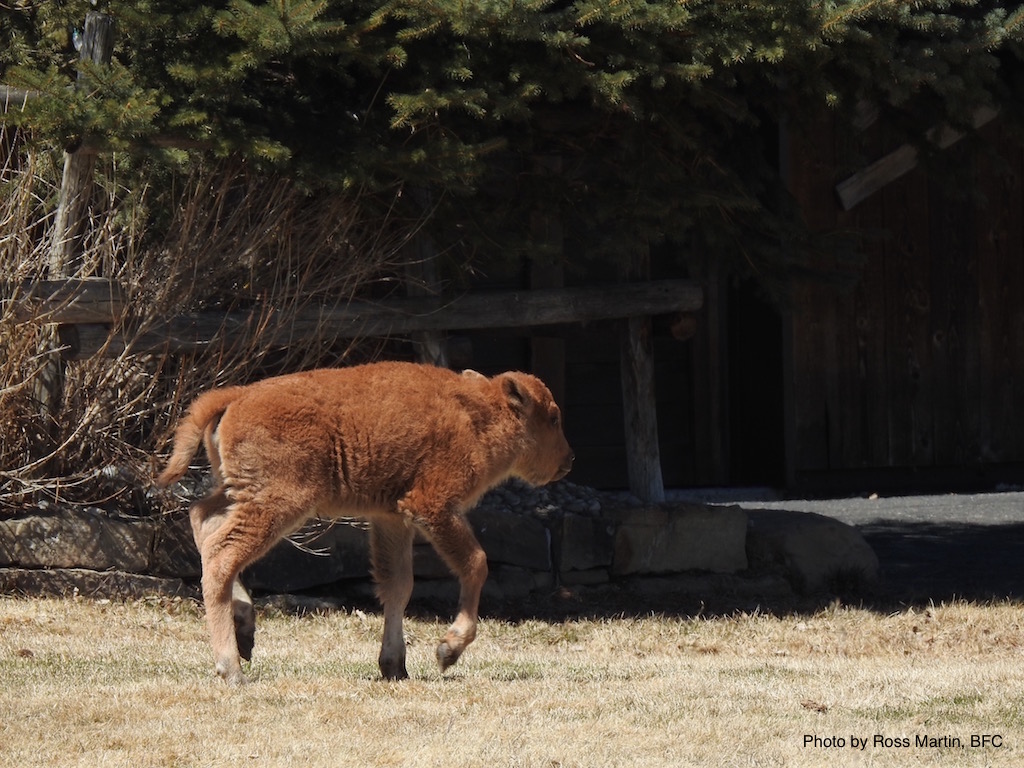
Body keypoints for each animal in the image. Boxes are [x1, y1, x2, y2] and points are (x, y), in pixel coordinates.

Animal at [159, 364, 577, 688]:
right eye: (553, 418)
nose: (569, 459)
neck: (478, 414)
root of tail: (238, 395)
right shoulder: (433, 506)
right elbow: (476, 563)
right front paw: (448, 649)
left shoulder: (392, 517)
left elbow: (398, 586)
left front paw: (394, 667)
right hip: (280, 502)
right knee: (222, 555)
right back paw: (231, 669)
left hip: (239, 492)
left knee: (203, 520)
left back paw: (244, 629)